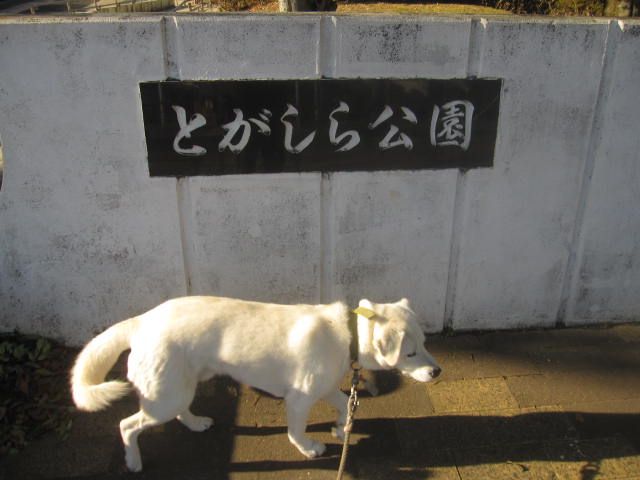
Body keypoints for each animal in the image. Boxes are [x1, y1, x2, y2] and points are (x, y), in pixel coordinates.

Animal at [70, 294, 440, 470]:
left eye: (426, 343)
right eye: (410, 353)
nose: (437, 372)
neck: (348, 334)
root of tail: (141, 321)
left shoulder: (324, 387)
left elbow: (341, 405)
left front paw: (340, 427)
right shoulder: (299, 399)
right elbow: (295, 432)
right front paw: (310, 448)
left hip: (181, 386)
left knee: (180, 411)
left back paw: (196, 423)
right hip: (165, 397)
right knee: (127, 426)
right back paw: (133, 461)